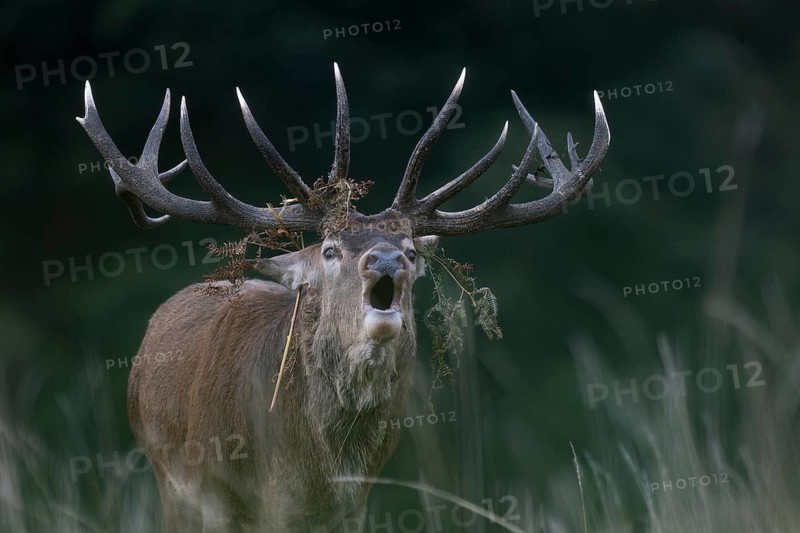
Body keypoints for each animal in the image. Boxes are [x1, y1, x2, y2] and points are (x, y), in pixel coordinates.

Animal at [76, 63, 609, 532]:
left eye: (411, 251)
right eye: (330, 249)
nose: (385, 260)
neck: (299, 474)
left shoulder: (352, 506)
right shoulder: (212, 495)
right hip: (169, 480)